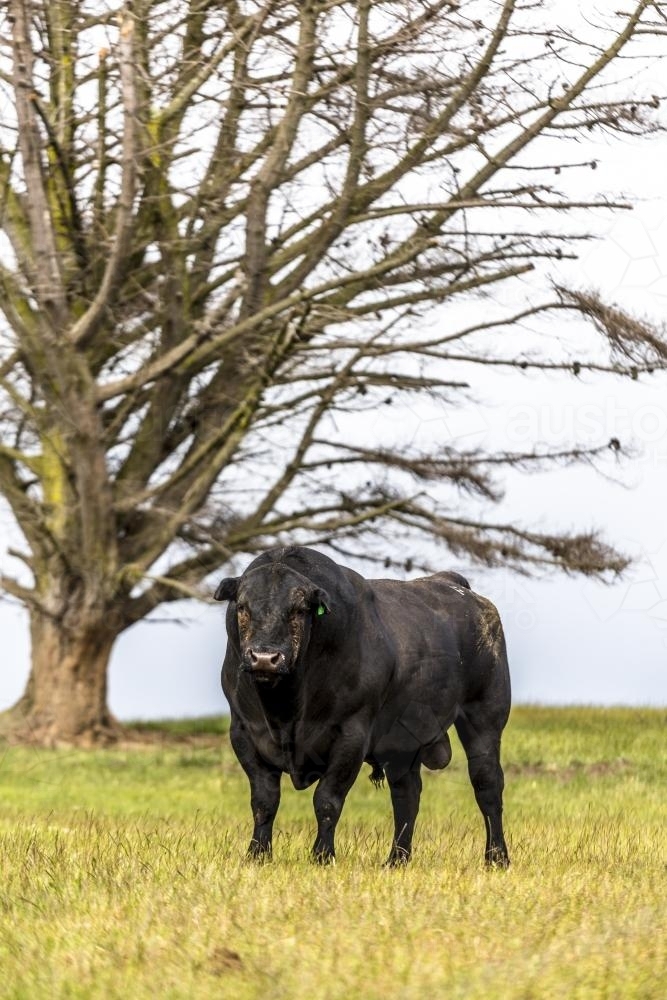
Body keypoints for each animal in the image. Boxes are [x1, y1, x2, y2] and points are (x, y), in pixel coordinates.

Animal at [215, 545, 511, 867]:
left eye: (299, 609)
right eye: (243, 607)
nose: (265, 658)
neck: (285, 711)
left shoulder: (351, 733)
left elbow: (327, 800)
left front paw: (322, 856)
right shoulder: (244, 731)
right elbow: (264, 801)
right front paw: (256, 855)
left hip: (484, 715)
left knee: (487, 784)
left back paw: (497, 857)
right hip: (402, 741)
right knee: (407, 794)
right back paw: (396, 859)